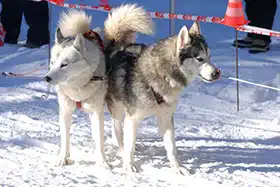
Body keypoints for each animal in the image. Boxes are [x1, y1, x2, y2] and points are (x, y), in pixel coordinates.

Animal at [44, 9, 109, 168]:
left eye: (64, 64)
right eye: (52, 62)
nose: (47, 78)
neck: (78, 87)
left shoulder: (97, 111)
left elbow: (100, 140)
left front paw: (103, 162)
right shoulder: (65, 110)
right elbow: (65, 139)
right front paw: (63, 158)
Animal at [104, 4, 221, 175]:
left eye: (210, 56)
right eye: (200, 58)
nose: (217, 73)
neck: (162, 75)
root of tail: (116, 46)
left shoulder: (166, 116)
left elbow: (171, 146)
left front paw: (177, 167)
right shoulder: (132, 118)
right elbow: (129, 145)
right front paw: (129, 164)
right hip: (118, 109)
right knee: (118, 131)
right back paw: (121, 149)